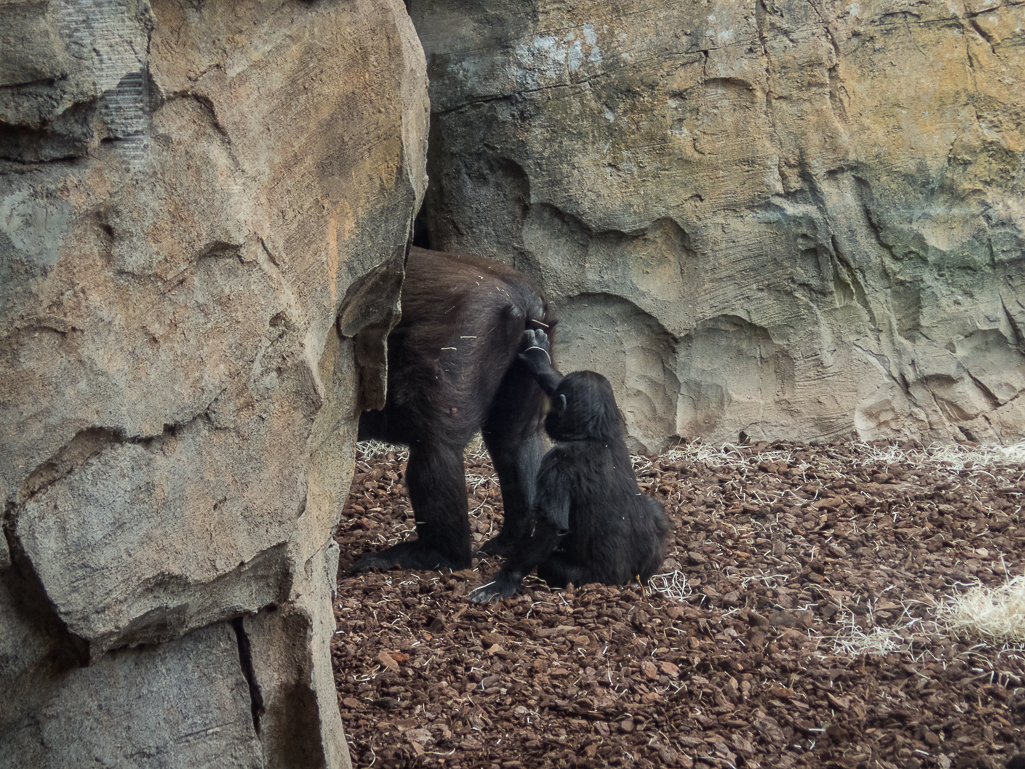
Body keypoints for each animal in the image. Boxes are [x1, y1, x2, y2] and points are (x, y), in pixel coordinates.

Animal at [356, 247, 557, 574]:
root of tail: (522, 296)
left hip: (470, 328)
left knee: (436, 445)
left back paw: (436, 554)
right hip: (537, 342)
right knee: (516, 438)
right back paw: (516, 538)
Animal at [471, 330, 672, 602]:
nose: (548, 417)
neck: (593, 435)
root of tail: (630, 579)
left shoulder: (556, 465)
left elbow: (550, 526)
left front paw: (505, 579)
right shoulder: (616, 429)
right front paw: (540, 360)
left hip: (594, 577)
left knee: (551, 566)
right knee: (655, 509)